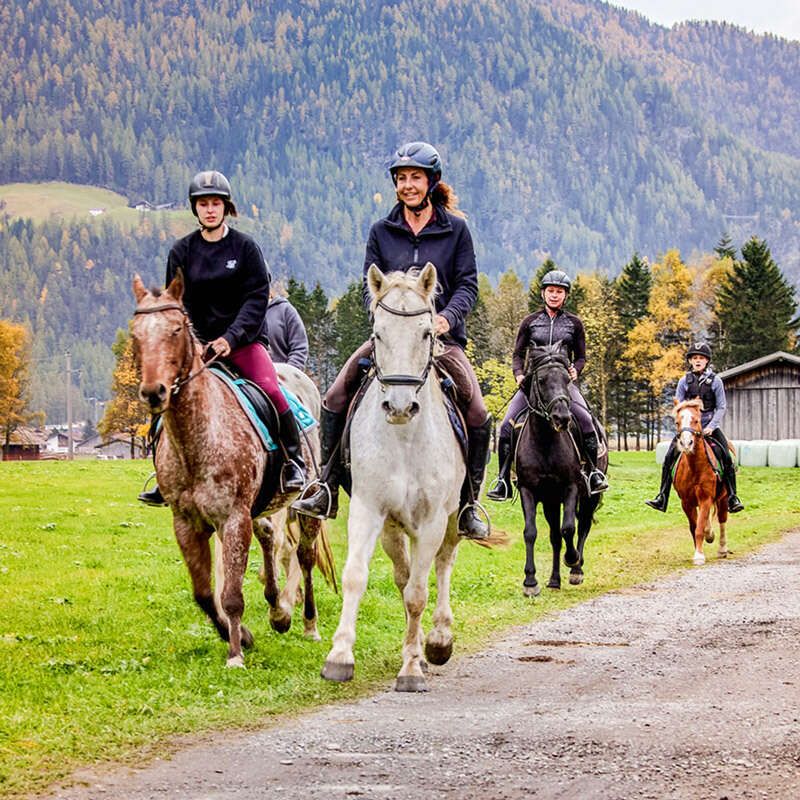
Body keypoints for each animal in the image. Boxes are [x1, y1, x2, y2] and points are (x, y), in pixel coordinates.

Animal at [133, 276, 332, 668]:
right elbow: (204, 593)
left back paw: (307, 623)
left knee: (303, 556)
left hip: (305, 505)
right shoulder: (187, 522)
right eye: (136, 334)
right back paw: (277, 611)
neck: (197, 439)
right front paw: (239, 635)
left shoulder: (233, 518)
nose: (153, 392)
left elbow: (232, 594)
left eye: (176, 329)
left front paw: (236, 654)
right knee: (269, 536)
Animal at [322, 266, 466, 692]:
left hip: (452, 519)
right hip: (392, 526)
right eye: (378, 333)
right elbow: (356, 577)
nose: (400, 407)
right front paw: (339, 656)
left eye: (426, 333)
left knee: (442, 565)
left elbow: (419, 592)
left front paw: (412, 668)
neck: (404, 438)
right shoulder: (369, 510)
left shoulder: (432, 520)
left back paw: (437, 640)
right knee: (403, 576)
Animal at [512, 342, 608, 592]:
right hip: (550, 500)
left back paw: (576, 570)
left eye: (567, 378)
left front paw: (572, 559)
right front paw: (530, 581)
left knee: (582, 525)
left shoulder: (571, 487)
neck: (545, 442)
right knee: (555, 536)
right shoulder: (529, 490)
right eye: (541, 380)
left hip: (589, 496)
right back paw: (554, 580)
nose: (562, 417)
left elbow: (569, 528)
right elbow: (531, 532)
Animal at [672, 398, 728, 564]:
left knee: (722, 519)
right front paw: (699, 549)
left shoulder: (705, 498)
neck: (695, 467)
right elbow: (695, 527)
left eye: (696, 420)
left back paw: (722, 549)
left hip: (724, 498)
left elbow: (700, 527)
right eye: (677, 422)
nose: (686, 444)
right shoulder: (686, 502)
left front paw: (699, 555)